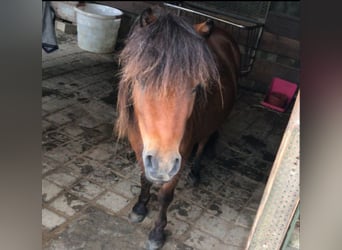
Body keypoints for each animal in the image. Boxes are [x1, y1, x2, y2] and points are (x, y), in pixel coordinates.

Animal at [116, 5, 239, 250]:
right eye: (141, 79)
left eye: (196, 87)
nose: (163, 165)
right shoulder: (141, 149)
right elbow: (144, 177)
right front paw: (140, 208)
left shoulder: (178, 155)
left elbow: (165, 195)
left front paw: (157, 233)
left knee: (203, 143)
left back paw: (196, 172)